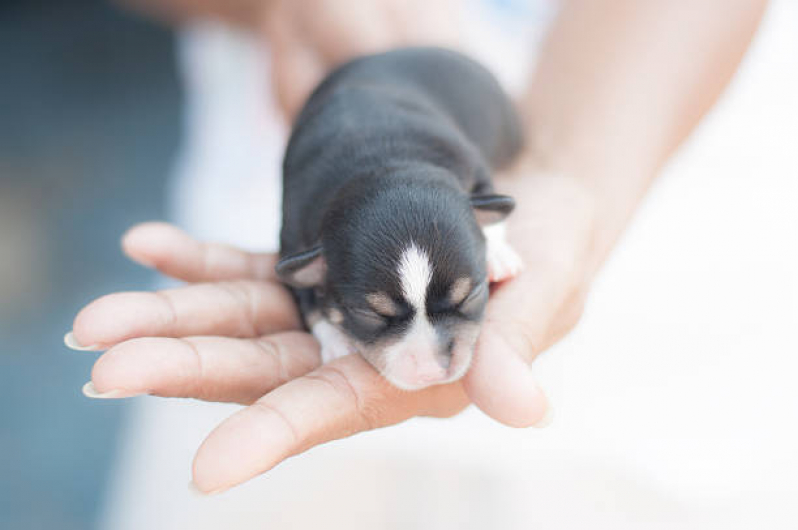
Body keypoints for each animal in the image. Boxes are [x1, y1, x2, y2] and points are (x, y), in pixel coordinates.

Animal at [276, 47, 524, 390]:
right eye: (371, 316)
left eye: (470, 296)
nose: (432, 371)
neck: (380, 159)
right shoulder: (291, 240)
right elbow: (308, 303)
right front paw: (337, 342)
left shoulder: (474, 167)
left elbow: (493, 203)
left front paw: (498, 254)